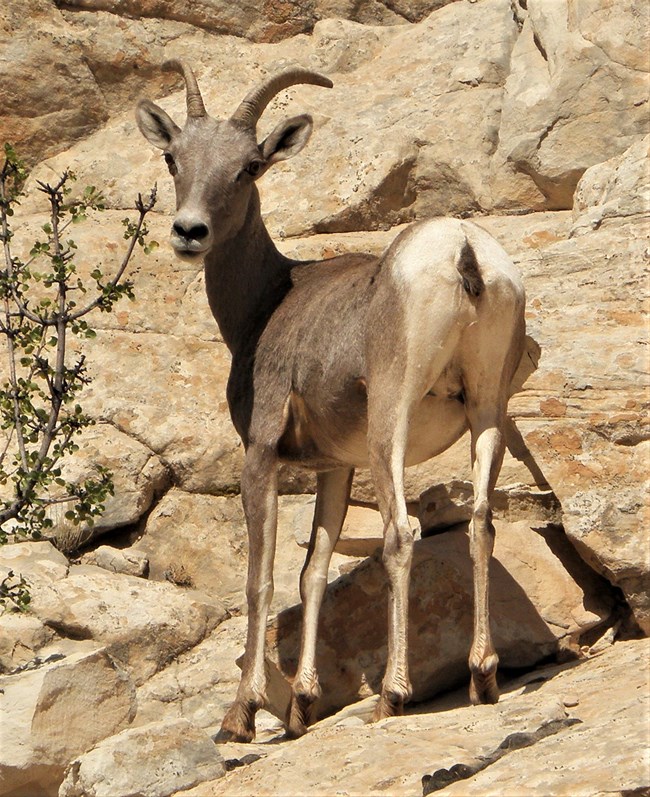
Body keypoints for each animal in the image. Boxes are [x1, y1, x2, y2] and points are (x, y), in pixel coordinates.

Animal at [134, 60, 524, 740]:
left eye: (249, 166)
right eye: (173, 158)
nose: (189, 233)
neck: (267, 302)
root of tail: (463, 253)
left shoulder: (261, 455)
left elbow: (261, 579)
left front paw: (242, 714)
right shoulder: (335, 469)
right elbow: (312, 571)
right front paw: (301, 706)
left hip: (390, 424)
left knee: (400, 533)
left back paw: (392, 695)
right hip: (486, 413)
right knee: (480, 521)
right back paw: (482, 679)